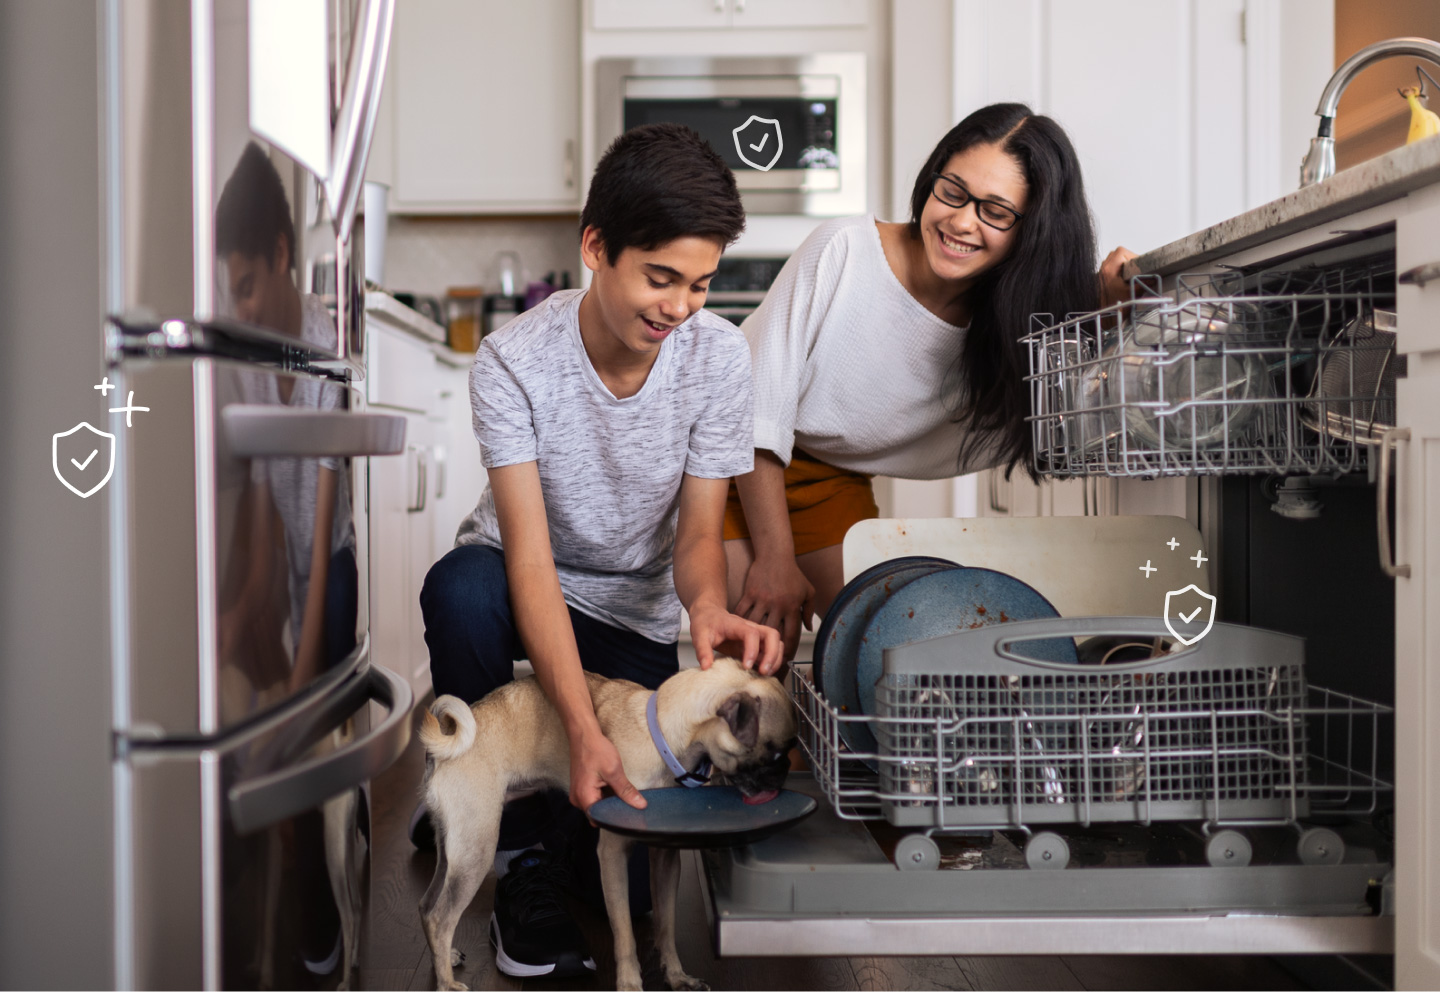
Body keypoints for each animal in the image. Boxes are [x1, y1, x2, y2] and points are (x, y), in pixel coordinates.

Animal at [417, 656, 800, 990]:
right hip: (476, 848)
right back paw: (447, 983)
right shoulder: (613, 856)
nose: (782, 774)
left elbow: (666, 927)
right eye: (774, 753)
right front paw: (630, 984)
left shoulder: (665, 860)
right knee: (441, 918)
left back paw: (443, 959)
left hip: (453, 850)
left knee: (427, 905)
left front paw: (676, 976)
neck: (662, 738)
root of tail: (440, 749)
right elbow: (625, 934)